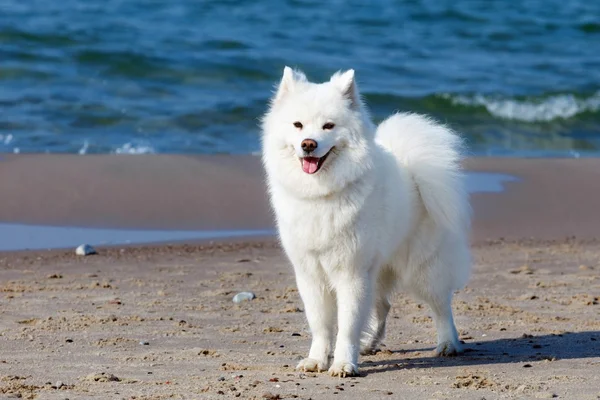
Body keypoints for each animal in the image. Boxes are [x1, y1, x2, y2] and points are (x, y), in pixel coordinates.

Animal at [260, 67, 472, 376]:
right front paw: (317, 359)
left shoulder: (351, 272)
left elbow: (347, 324)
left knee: (440, 306)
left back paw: (448, 344)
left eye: (328, 126)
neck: (323, 194)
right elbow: (321, 324)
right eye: (298, 125)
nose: (308, 144)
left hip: (422, 268)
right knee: (383, 306)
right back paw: (369, 343)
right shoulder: (311, 274)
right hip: (379, 269)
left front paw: (343, 364)